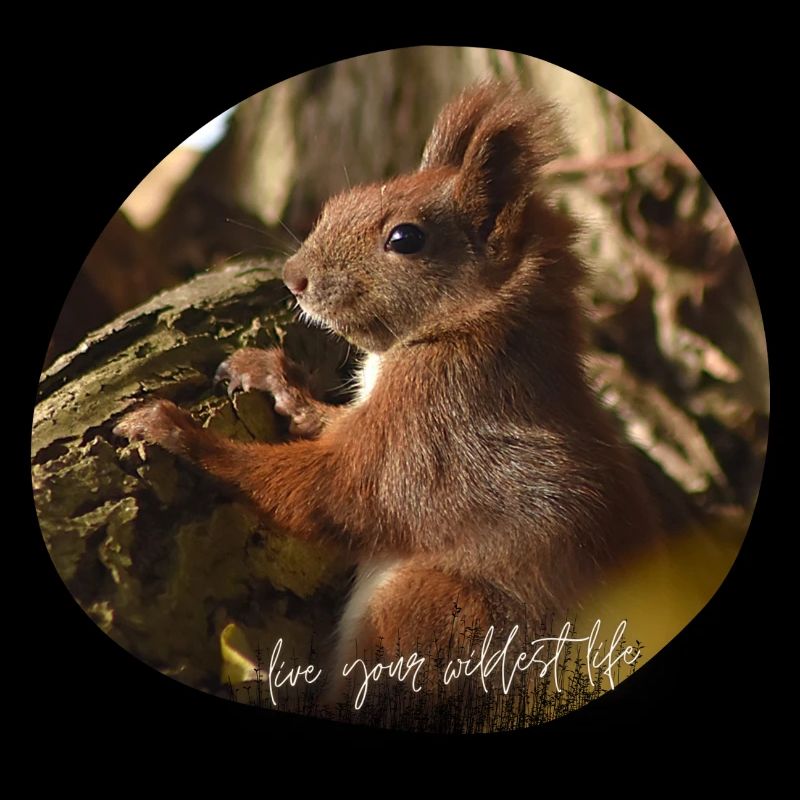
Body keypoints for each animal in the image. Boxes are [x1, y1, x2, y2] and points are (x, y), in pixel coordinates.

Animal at [115, 81, 659, 696]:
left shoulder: (435, 423)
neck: (473, 327)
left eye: (405, 238)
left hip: (433, 609)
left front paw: (177, 434)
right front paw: (274, 378)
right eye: (344, 199)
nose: (293, 277)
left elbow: (335, 490)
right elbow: (328, 428)